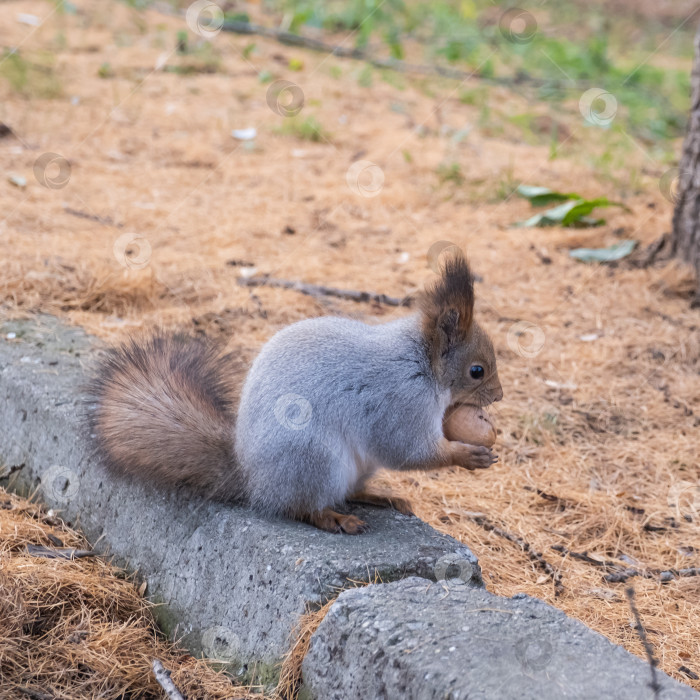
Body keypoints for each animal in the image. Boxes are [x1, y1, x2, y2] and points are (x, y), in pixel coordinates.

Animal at [89, 254, 504, 532]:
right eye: (477, 371)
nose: (498, 396)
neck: (422, 366)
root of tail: (253, 481)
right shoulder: (398, 401)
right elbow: (406, 449)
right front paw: (467, 455)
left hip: (351, 468)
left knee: (347, 491)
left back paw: (378, 496)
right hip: (315, 460)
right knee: (301, 508)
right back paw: (335, 518)